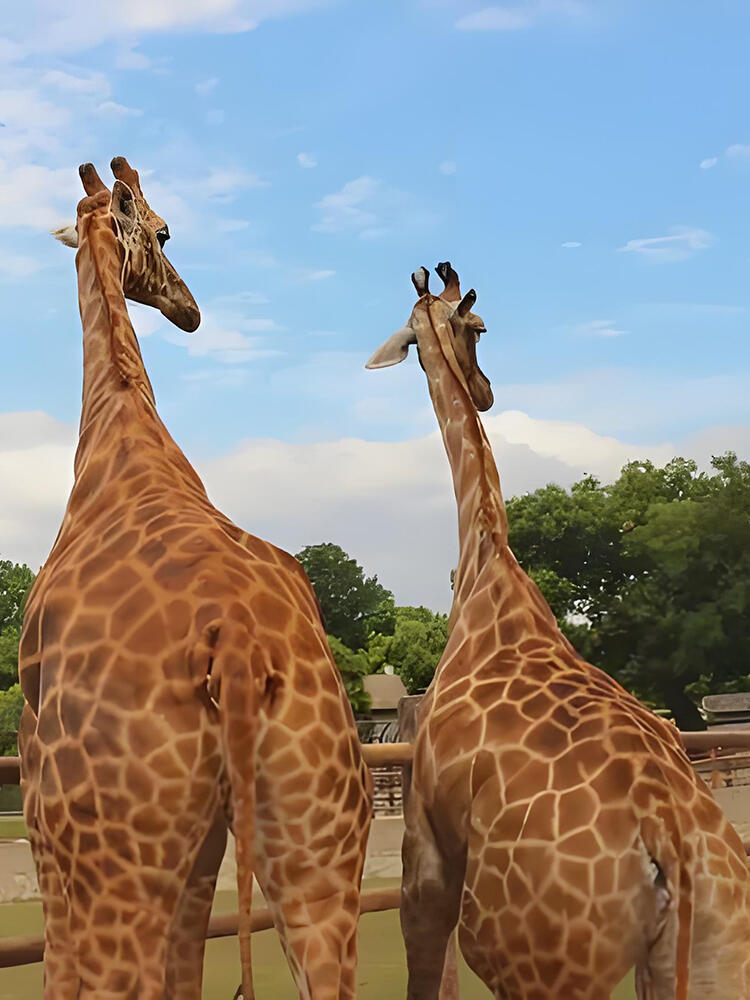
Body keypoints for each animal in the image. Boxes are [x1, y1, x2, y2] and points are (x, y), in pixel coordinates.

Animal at [18, 158, 371, 1000]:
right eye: (168, 231)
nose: (189, 309)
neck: (122, 434)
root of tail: (235, 638)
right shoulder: (206, 839)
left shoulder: (41, 808)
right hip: (319, 846)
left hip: (112, 859)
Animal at [366, 263, 750, 1000]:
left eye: (478, 327)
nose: (485, 389)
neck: (489, 569)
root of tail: (668, 837)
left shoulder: (424, 850)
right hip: (714, 953)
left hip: (535, 963)